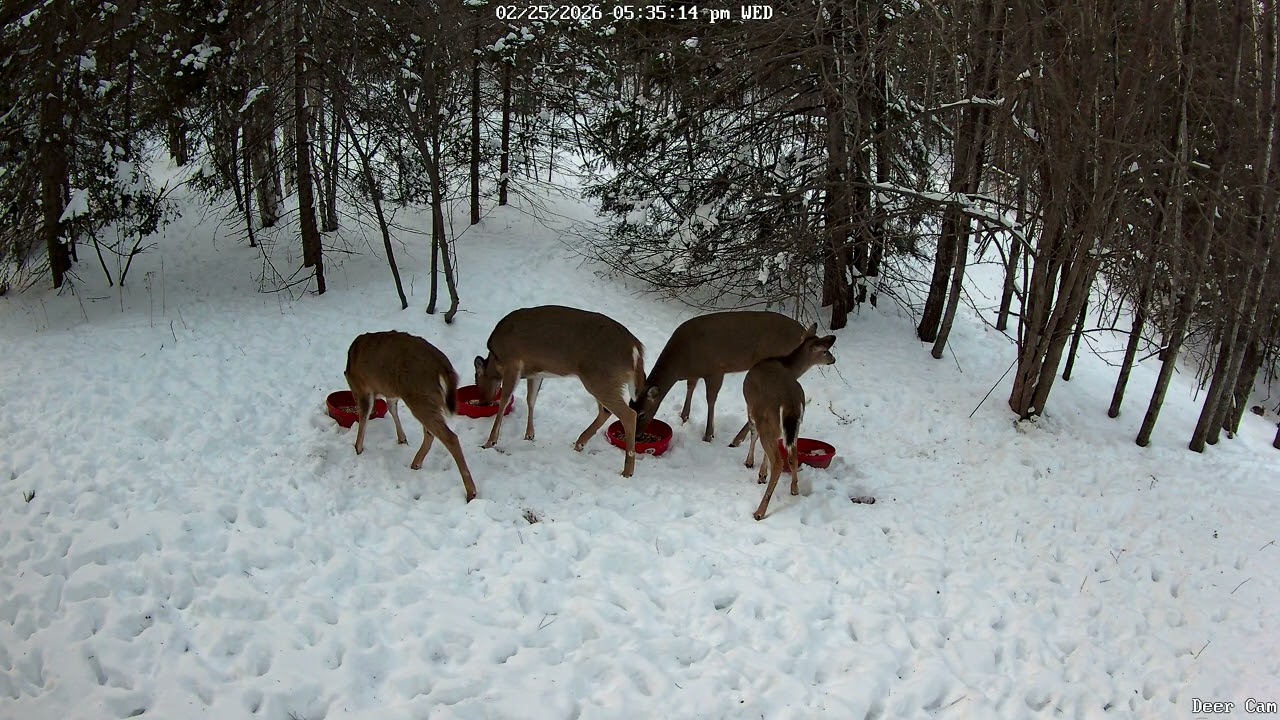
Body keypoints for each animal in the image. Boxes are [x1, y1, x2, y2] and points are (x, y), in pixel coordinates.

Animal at [345, 331, 477, 502]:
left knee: (449, 437)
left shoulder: (363, 389)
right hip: (423, 398)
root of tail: (442, 367)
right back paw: (415, 464)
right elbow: (392, 408)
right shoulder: (391, 392)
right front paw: (402, 439)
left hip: (419, 396)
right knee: (430, 433)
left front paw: (357, 449)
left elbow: (364, 418)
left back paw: (471, 492)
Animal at [473, 305, 647, 477]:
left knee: (629, 415)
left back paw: (627, 471)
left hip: (601, 378)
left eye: (477, 382)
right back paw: (580, 443)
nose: (483, 401)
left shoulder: (513, 362)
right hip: (602, 380)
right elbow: (531, 398)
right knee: (606, 411)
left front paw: (489, 442)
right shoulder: (535, 373)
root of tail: (636, 350)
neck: (496, 360)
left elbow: (505, 400)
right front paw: (529, 434)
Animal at [631, 311, 815, 444]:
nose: (636, 436)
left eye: (642, 414)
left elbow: (711, 399)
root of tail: (803, 332)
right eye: (630, 406)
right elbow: (691, 387)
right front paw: (683, 417)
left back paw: (739, 438)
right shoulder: (695, 373)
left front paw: (708, 435)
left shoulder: (716, 370)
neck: (681, 364)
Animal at [741, 333, 836, 520]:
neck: (785, 364)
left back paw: (759, 511)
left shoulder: (752, 408)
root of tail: (789, 401)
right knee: (793, 457)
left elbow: (753, 433)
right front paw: (762, 474)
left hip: (766, 417)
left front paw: (751, 465)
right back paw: (794, 489)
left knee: (778, 462)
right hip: (796, 423)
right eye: (825, 351)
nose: (833, 359)